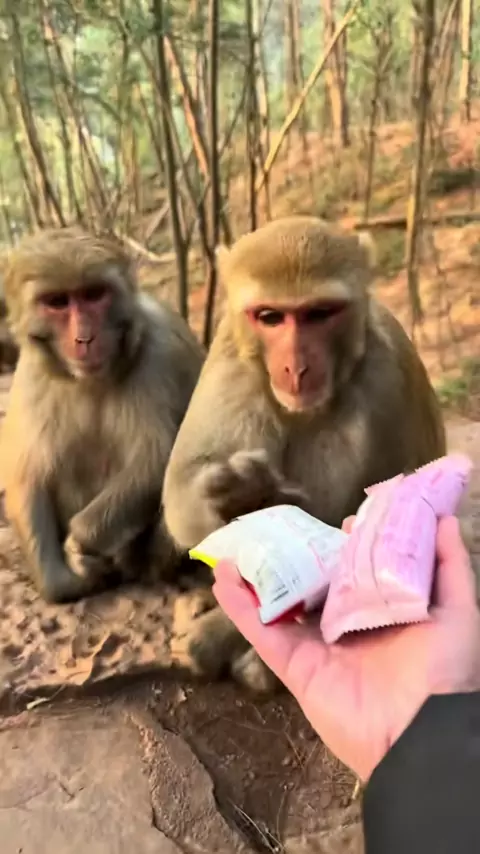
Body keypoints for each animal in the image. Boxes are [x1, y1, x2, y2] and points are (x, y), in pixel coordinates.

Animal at [0, 226, 204, 604]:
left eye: (94, 295)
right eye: (57, 302)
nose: (85, 338)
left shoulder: (160, 348)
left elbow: (164, 458)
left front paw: (79, 543)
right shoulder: (32, 372)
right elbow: (26, 474)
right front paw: (61, 581)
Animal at [162, 215, 446, 693]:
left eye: (319, 314)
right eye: (270, 317)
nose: (296, 367)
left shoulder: (385, 379)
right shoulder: (231, 353)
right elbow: (182, 486)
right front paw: (242, 500)